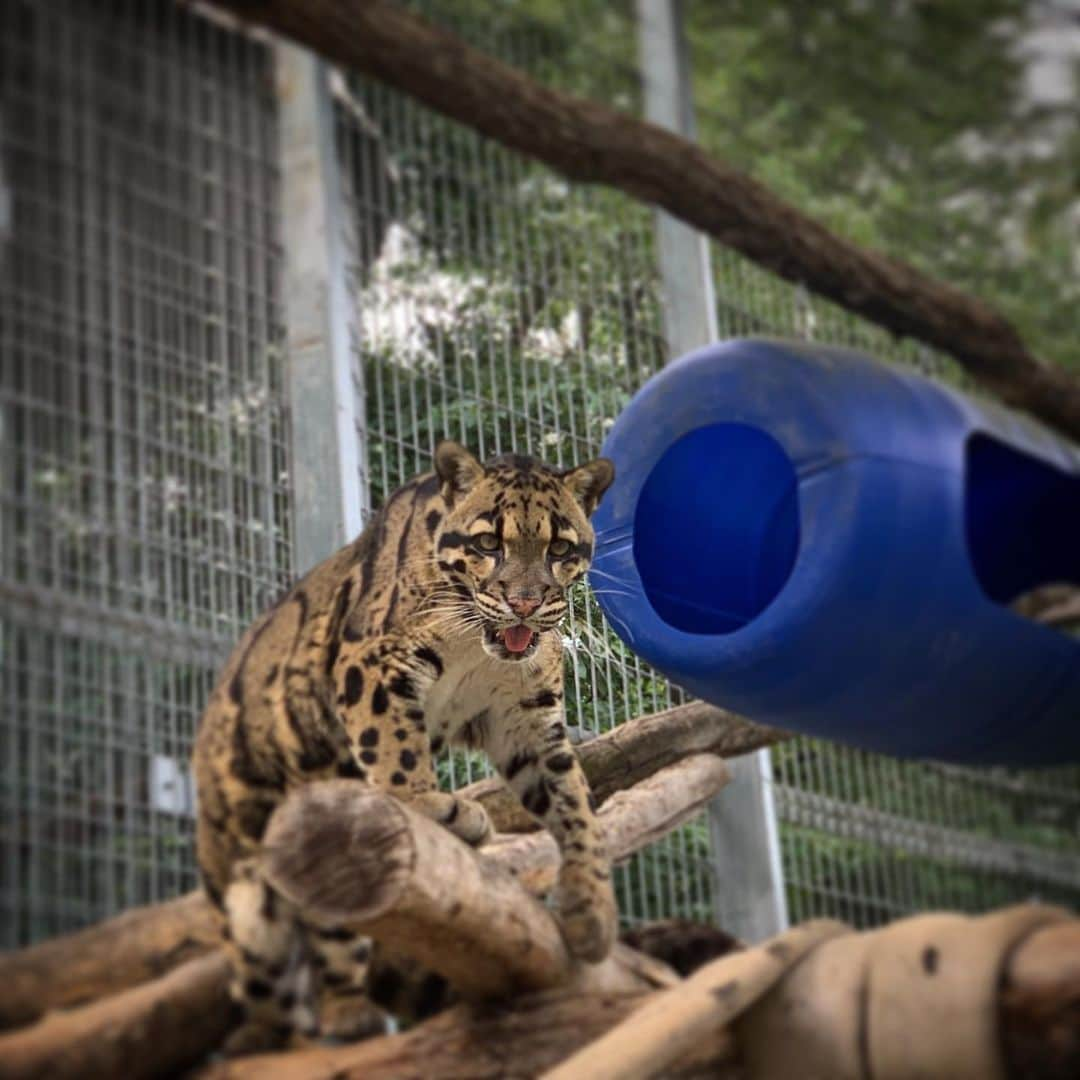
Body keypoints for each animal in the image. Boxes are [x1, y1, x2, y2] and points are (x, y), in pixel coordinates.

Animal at [193, 442, 617, 1049]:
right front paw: (427, 805)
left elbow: (574, 802)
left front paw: (590, 906)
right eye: (488, 544)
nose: (524, 604)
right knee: (284, 983)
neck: (476, 644)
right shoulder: (369, 662)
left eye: (559, 548)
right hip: (248, 905)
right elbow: (395, 747)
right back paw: (321, 1023)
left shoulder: (529, 720)